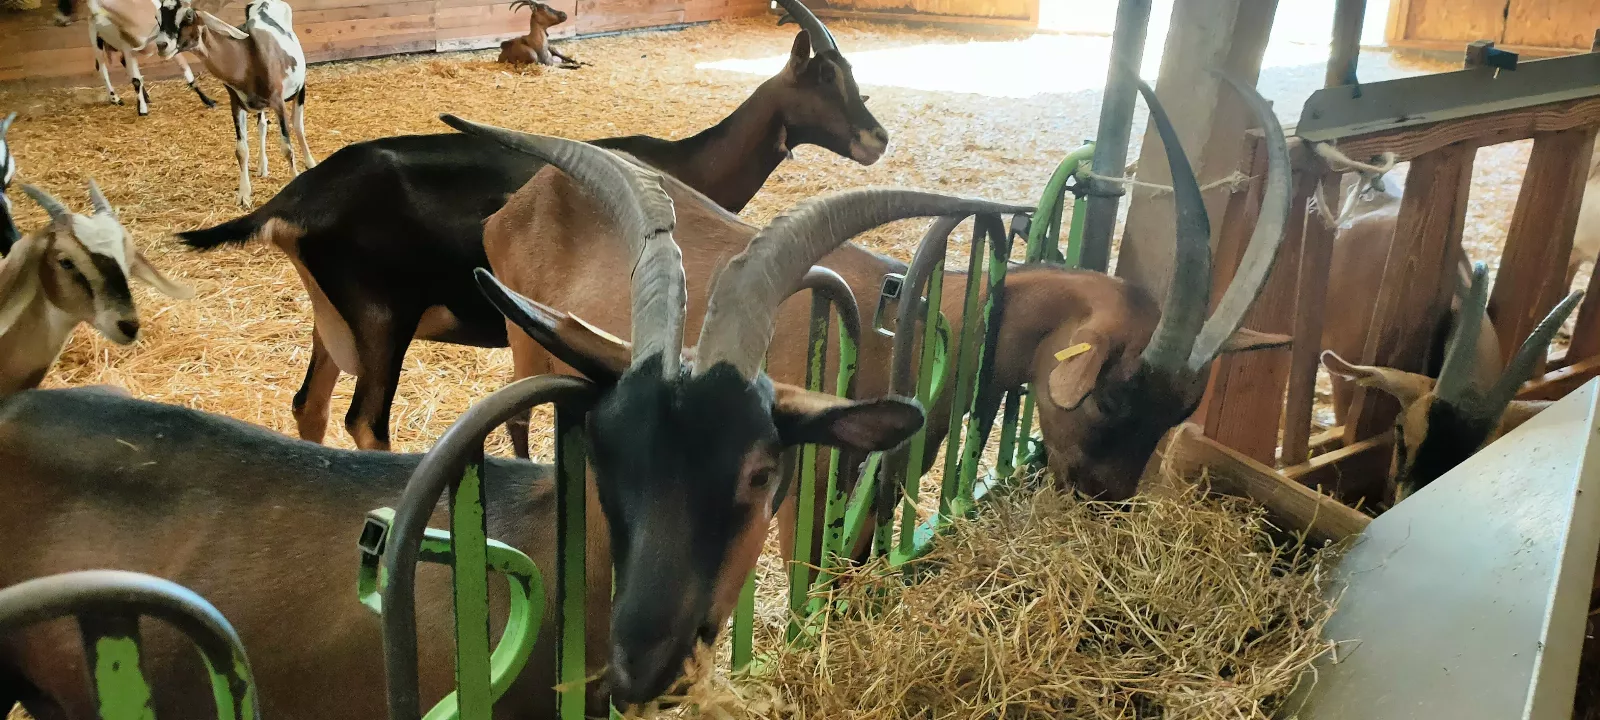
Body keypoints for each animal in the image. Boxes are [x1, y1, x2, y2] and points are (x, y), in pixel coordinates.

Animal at [86, 0, 217, 117]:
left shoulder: (171, 49)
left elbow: (187, 72)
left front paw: (209, 101)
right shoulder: (128, 49)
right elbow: (136, 80)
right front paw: (142, 110)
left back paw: (145, 97)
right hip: (96, 40)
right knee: (102, 68)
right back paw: (115, 98)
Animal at [175, 0, 315, 207]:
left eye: (190, 16)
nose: (163, 44)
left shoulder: (279, 100)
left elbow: (288, 144)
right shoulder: (236, 103)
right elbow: (241, 150)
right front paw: (244, 195)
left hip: (298, 88)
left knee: (296, 125)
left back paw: (309, 161)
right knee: (262, 125)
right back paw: (262, 166)